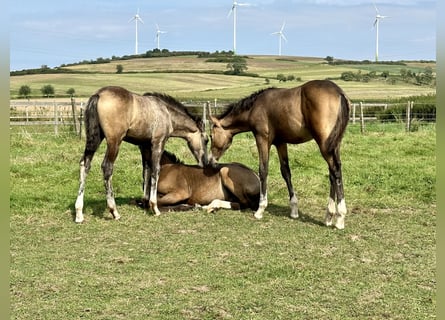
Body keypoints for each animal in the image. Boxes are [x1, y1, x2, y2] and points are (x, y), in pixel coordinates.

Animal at [74, 86, 208, 224]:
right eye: (206, 140)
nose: (205, 162)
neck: (167, 113)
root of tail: (99, 94)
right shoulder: (158, 142)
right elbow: (155, 170)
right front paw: (154, 207)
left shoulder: (144, 146)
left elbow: (146, 171)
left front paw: (145, 201)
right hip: (114, 141)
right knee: (107, 167)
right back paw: (114, 211)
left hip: (95, 138)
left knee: (85, 164)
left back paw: (79, 213)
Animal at [208, 80, 350, 230]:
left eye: (211, 136)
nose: (210, 160)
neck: (254, 107)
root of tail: (338, 92)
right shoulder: (280, 142)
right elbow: (286, 172)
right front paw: (294, 209)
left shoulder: (262, 139)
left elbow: (263, 170)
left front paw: (260, 209)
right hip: (334, 145)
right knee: (333, 174)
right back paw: (328, 216)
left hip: (324, 144)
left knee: (335, 171)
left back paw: (340, 217)